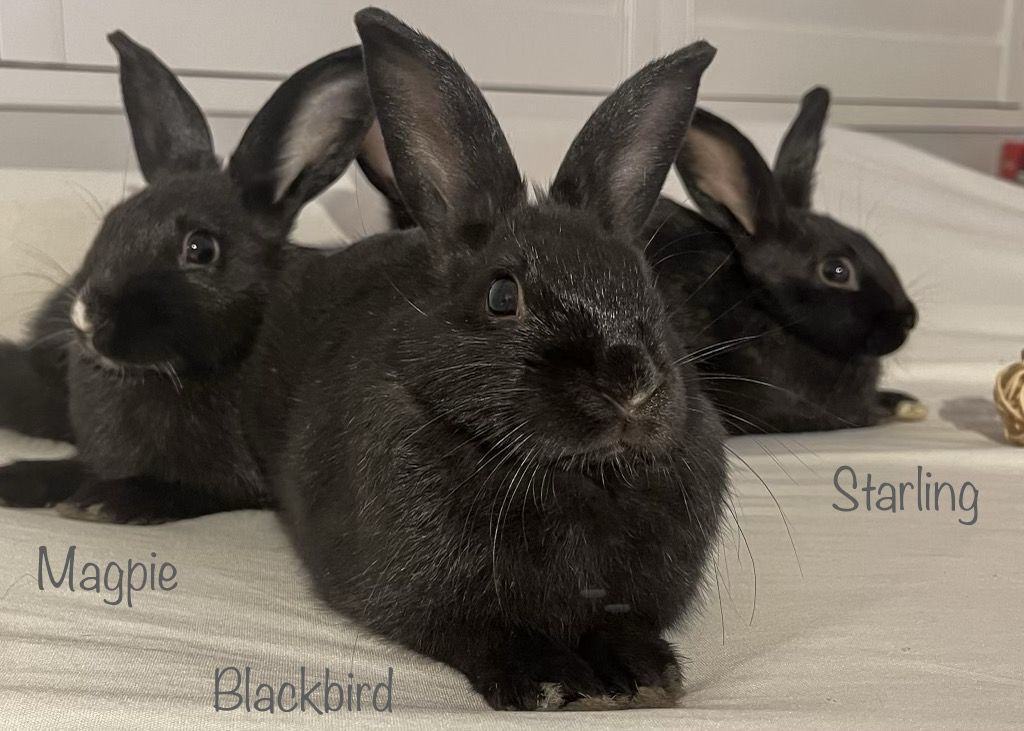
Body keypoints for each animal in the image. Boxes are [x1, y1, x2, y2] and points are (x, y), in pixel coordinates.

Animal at [0, 30, 380, 523]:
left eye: (201, 248)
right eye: (112, 221)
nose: (86, 316)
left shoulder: (241, 486)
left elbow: (185, 489)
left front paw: (104, 499)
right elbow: (71, 466)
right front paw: (17, 480)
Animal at [244, 8, 727, 712]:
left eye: (648, 285)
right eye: (503, 295)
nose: (631, 386)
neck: (571, 474)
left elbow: (621, 625)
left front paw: (644, 676)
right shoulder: (436, 603)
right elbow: (487, 633)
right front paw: (556, 683)